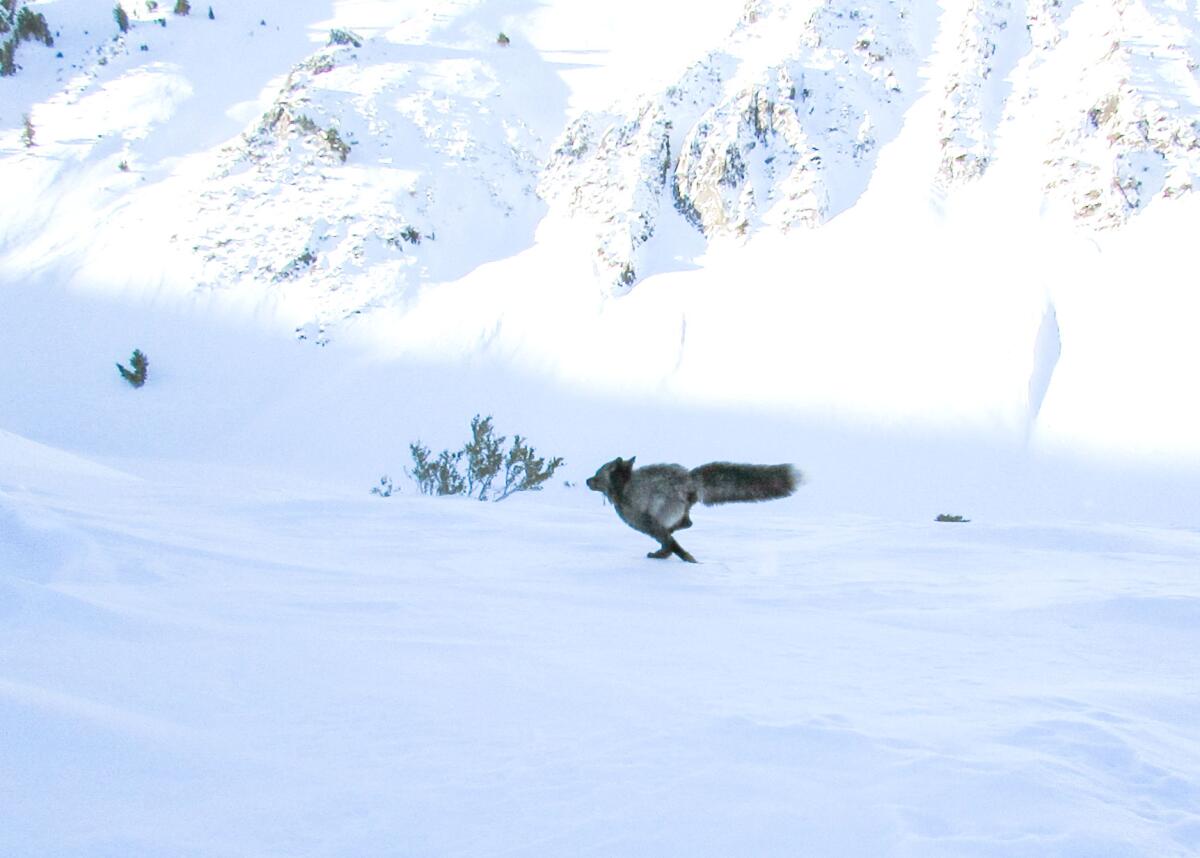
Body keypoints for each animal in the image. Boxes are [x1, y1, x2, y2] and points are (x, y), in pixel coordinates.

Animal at [586, 457, 802, 563]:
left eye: (597, 474)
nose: (587, 480)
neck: (625, 487)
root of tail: (689, 478)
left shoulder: (648, 524)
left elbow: (671, 544)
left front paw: (686, 559)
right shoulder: (656, 526)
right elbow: (670, 541)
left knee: (682, 526)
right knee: (686, 523)